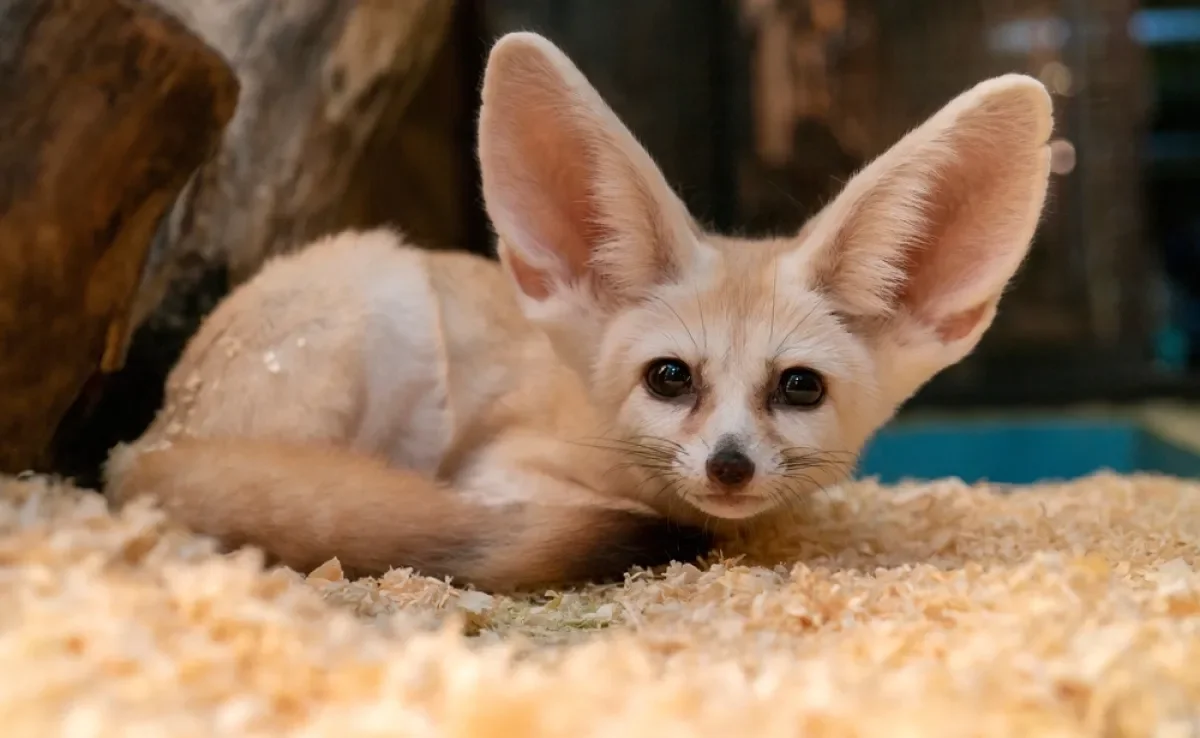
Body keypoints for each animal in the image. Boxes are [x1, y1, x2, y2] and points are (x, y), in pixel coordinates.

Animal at [108, 31, 1056, 592]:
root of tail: (145, 442)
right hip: (382, 302)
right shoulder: (500, 473)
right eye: (669, 378)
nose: (730, 467)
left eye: (800, 387)